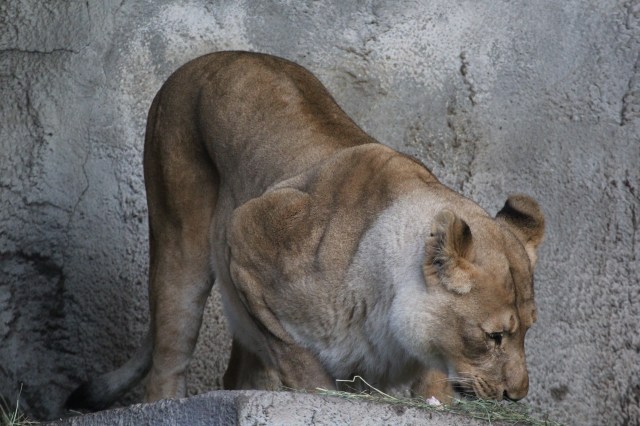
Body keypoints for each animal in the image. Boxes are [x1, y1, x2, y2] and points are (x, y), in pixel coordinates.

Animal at [66, 51, 545, 410]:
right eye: (494, 336)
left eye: (527, 331)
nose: (516, 396)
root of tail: (211, 56)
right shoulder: (247, 235)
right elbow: (298, 358)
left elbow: (433, 377)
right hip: (180, 235)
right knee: (170, 347)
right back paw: (167, 402)